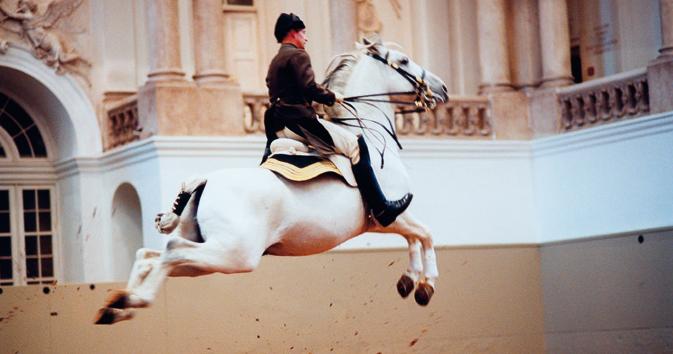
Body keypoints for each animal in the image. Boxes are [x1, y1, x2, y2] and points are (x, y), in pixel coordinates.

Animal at [94, 38, 448, 324]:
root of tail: (205, 181)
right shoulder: (393, 214)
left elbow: (415, 238)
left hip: (208, 255)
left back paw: (118, 306)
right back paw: (134, 300)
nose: (442, 88)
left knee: (149, 257)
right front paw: (425, 285)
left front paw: (408, 281)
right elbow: (426, 234)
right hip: (234, 254)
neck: (372, 138)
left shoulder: (385, 223)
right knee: (169, 251)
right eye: (403, 61)